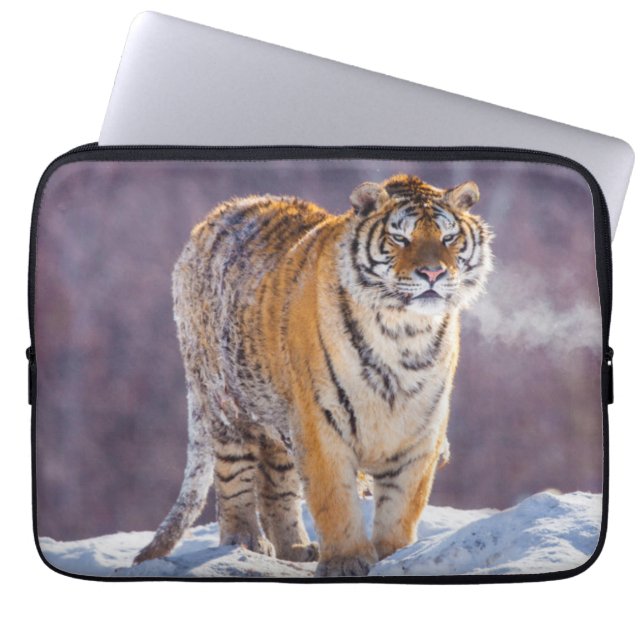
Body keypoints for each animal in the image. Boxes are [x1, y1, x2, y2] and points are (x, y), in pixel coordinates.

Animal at [133, 174, 494, 577]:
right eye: (400, 238)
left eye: (449, 238)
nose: (433, 273)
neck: (404, 334)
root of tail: (211, 219)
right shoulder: (321, 423)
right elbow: (335, 499)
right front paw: (347, 561)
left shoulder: (419, 431)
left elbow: (402, 504)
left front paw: (393, 555)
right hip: (226, 405)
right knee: (234, 477)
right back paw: (246, 541)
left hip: (277, 418)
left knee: (276, 484)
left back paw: (296, 548)